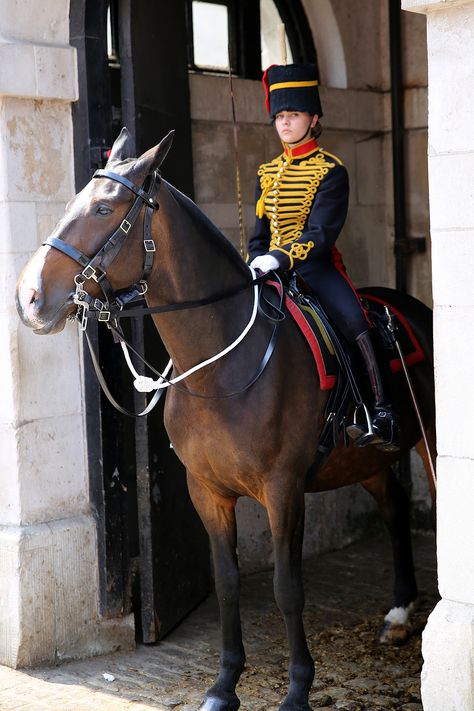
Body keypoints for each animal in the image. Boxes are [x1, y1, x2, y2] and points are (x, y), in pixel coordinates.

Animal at [15, 129, 436, 711]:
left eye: (103, 208)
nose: (29, 298)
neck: (219, 368)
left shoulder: (283, 489)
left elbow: (287, 587)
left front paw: (298, 689)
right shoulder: (207, 490)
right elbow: (228, 581)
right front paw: (223, 685)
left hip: (430, 444)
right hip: (366, 459)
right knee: (394, 507)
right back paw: (397, 613)